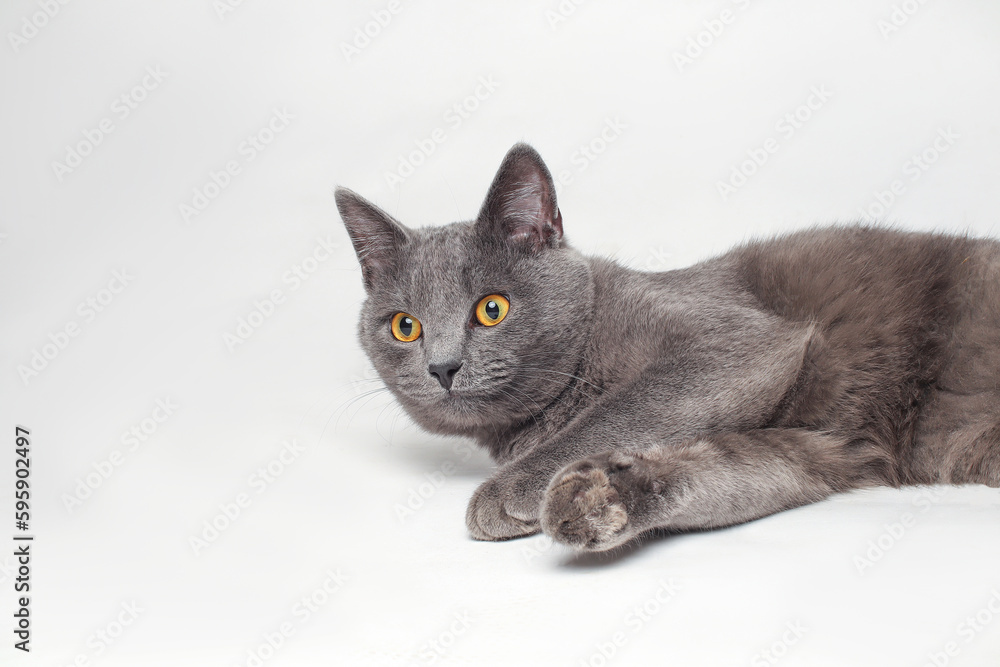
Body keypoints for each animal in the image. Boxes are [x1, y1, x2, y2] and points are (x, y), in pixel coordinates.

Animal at [338, 144, 1000, 552]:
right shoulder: (817, 448)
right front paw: (602, 498)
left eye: (491, 309)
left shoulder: (741, 340)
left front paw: (510, 493)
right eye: (405, 326)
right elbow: (735, 470)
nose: (443, 366)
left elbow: (622, 410)